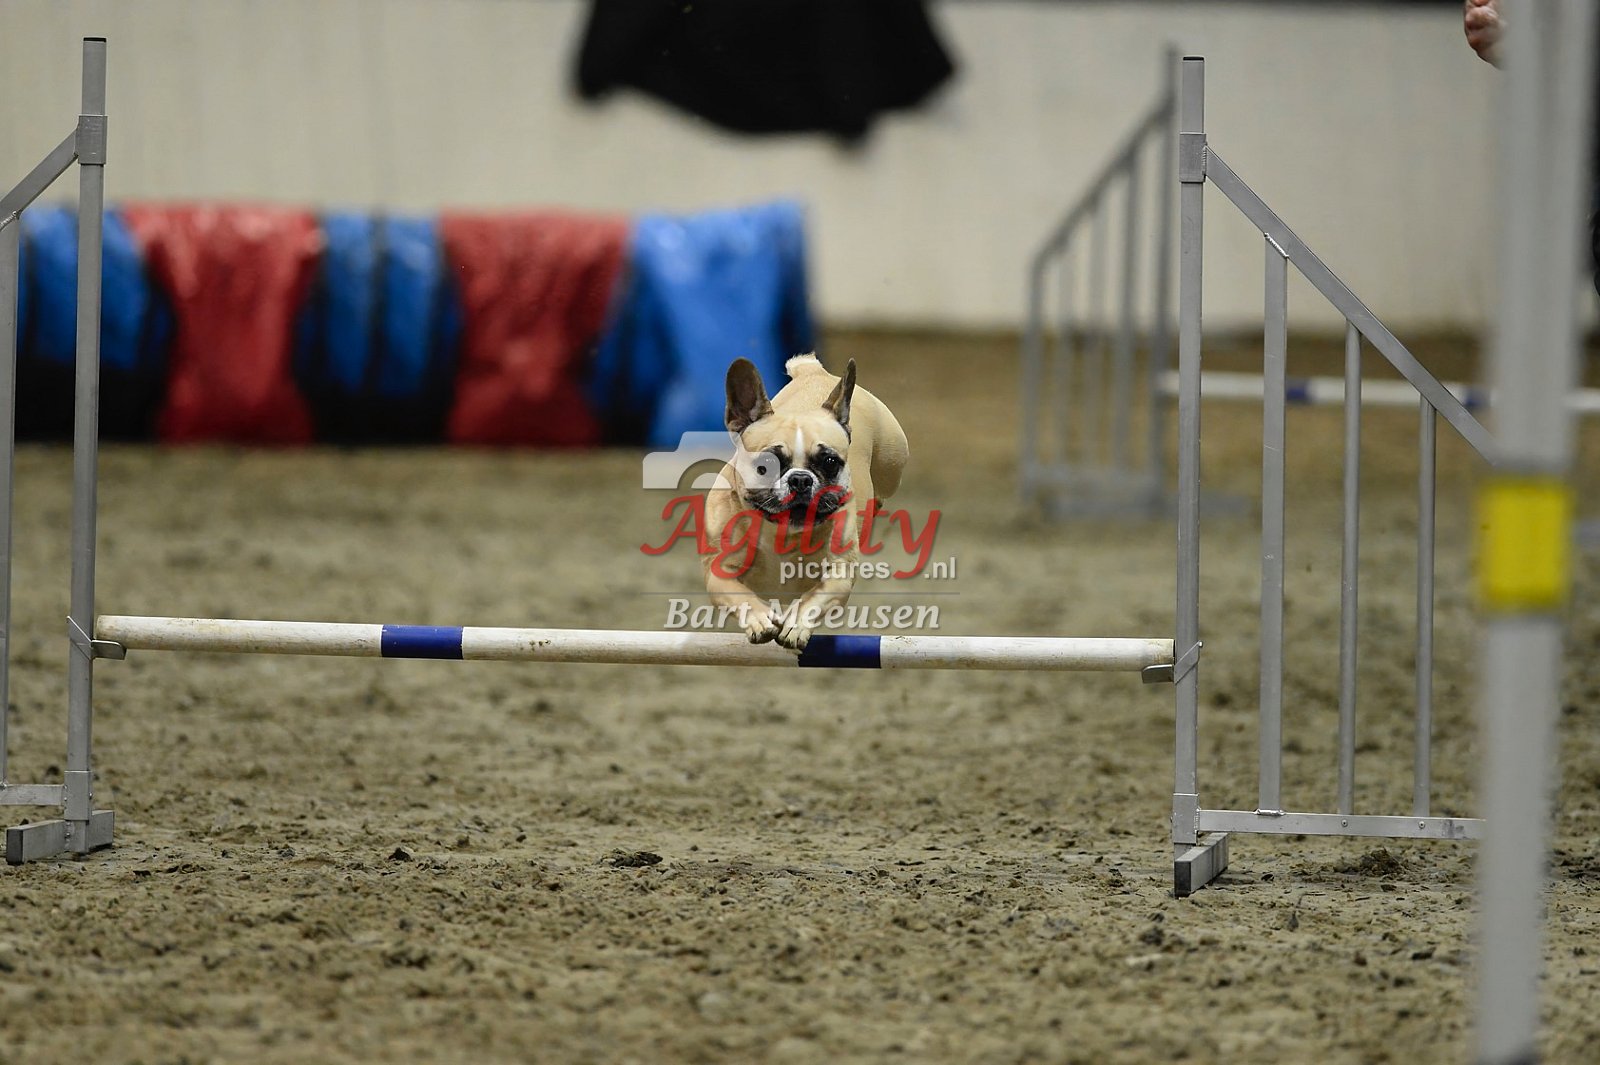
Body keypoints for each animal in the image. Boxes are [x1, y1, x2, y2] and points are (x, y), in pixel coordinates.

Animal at [705, 354, 909, 650]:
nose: (800, 479)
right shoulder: (719, 572)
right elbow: (737, 595)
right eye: (765, 465)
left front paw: (797, 623)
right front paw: (759, 618)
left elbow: (816, 599)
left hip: (892, 463)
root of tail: (814, 373)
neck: (782, 531)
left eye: (830, 462)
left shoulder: (839, 575)